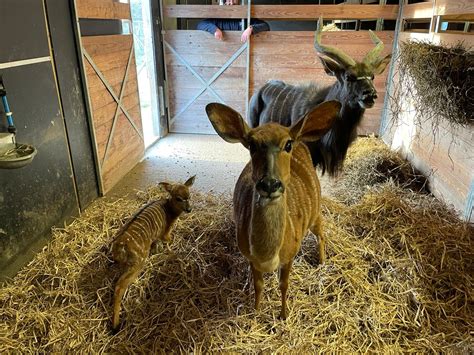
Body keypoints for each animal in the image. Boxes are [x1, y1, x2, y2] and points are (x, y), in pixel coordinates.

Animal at [109, 177, 194, 332]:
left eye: (189, 195)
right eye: (178, 198)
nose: (189, 209)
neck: (170, 211)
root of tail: (119, 247)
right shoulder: (165, 233)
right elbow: (169, 239)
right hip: (138, 261)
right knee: (119, 286)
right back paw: (115, 326)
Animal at [205, 100, 340, 320]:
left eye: (288, 144)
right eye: (251, 145)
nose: (269, 184)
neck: (267, 254)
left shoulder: (290, 256)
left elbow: (284, 285)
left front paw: (283, 315)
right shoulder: (251, 258)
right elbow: (258, 285)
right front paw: (256, 312)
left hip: (316, 212)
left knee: (321, 233)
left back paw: (322, 261)